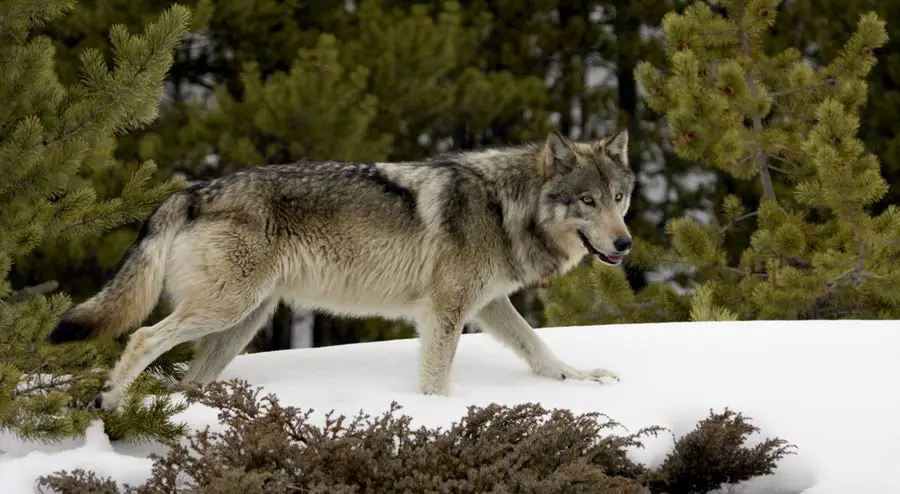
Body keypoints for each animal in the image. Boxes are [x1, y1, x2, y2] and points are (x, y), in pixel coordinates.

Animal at [47, 127, 632, 410]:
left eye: (619, 198)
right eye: (587, 201)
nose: (625, 244)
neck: (504, 205)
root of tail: (189, 192)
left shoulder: (486, 305)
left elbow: (538, 347)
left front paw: (580, 378)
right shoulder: (444, 310)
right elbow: (437, 378)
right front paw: (436, 416)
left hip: (241, 324)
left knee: (189, 379)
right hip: (226, 310)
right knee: (144, 336)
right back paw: (110, 400)